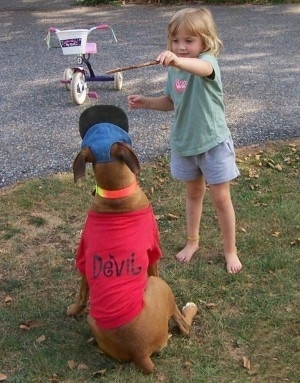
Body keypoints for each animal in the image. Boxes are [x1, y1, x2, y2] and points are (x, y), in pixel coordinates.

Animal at [68, 106, 198, 376]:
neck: (115, 195)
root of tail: (140, 353)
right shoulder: (153, 253)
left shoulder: (84, 258)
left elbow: (82, 291)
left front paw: (73, 309)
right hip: (161, 287)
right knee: (183, 326)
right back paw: (189, 309)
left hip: (94, 320)